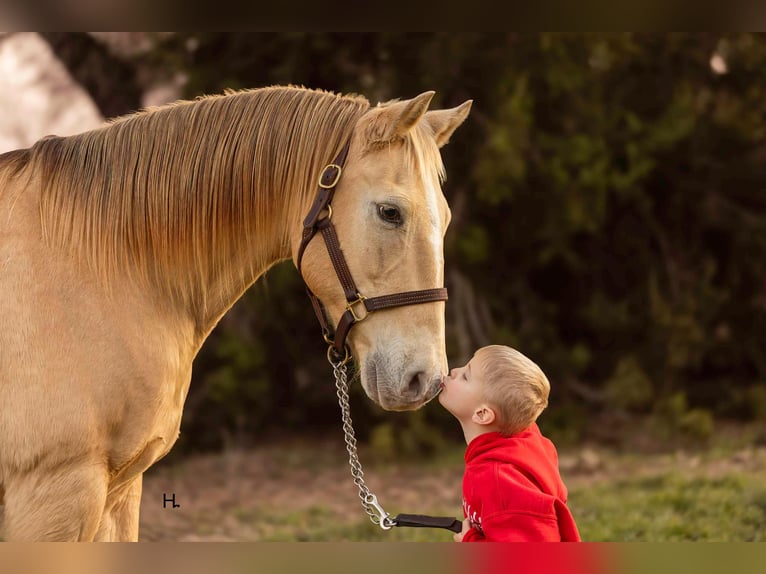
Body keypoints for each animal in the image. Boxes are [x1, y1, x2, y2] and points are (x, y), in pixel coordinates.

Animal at [0, 85, 471, 541]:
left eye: (448, 218)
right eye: (390, 212)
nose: (424, 379)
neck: (98, 265)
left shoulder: (120, 493)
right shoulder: (57, 496)